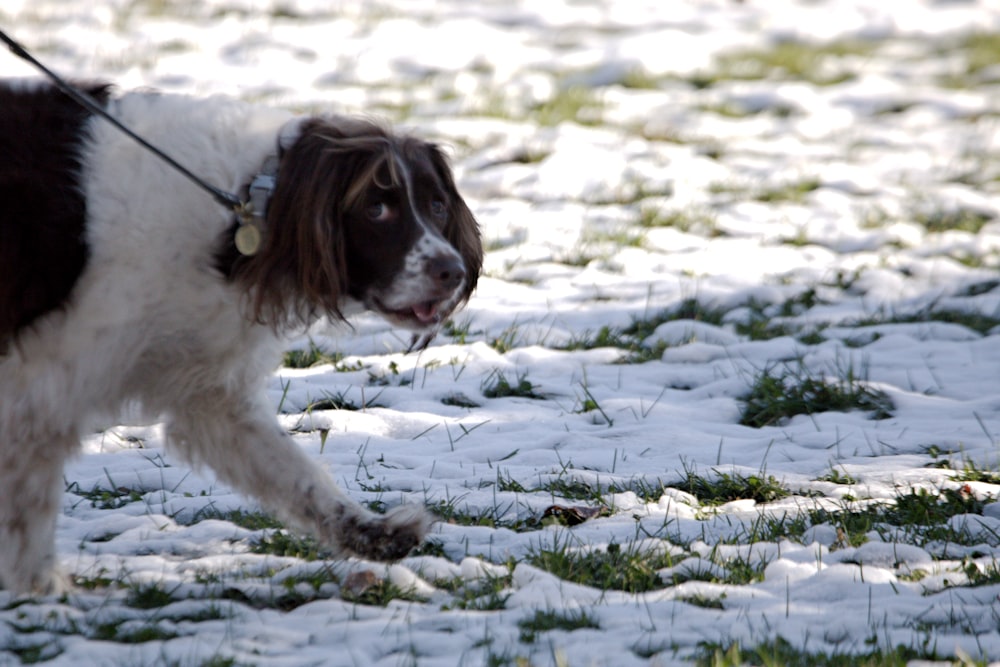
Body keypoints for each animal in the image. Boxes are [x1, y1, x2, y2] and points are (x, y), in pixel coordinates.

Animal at [0, 81, 484, 596]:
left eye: (436, 206)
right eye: (376, 209)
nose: (452, 272)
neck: (243, 207)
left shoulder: (210, 394)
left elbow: (298, 476)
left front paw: (375, 535)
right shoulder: (42, 387)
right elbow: (28, 506)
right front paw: (41, 591)